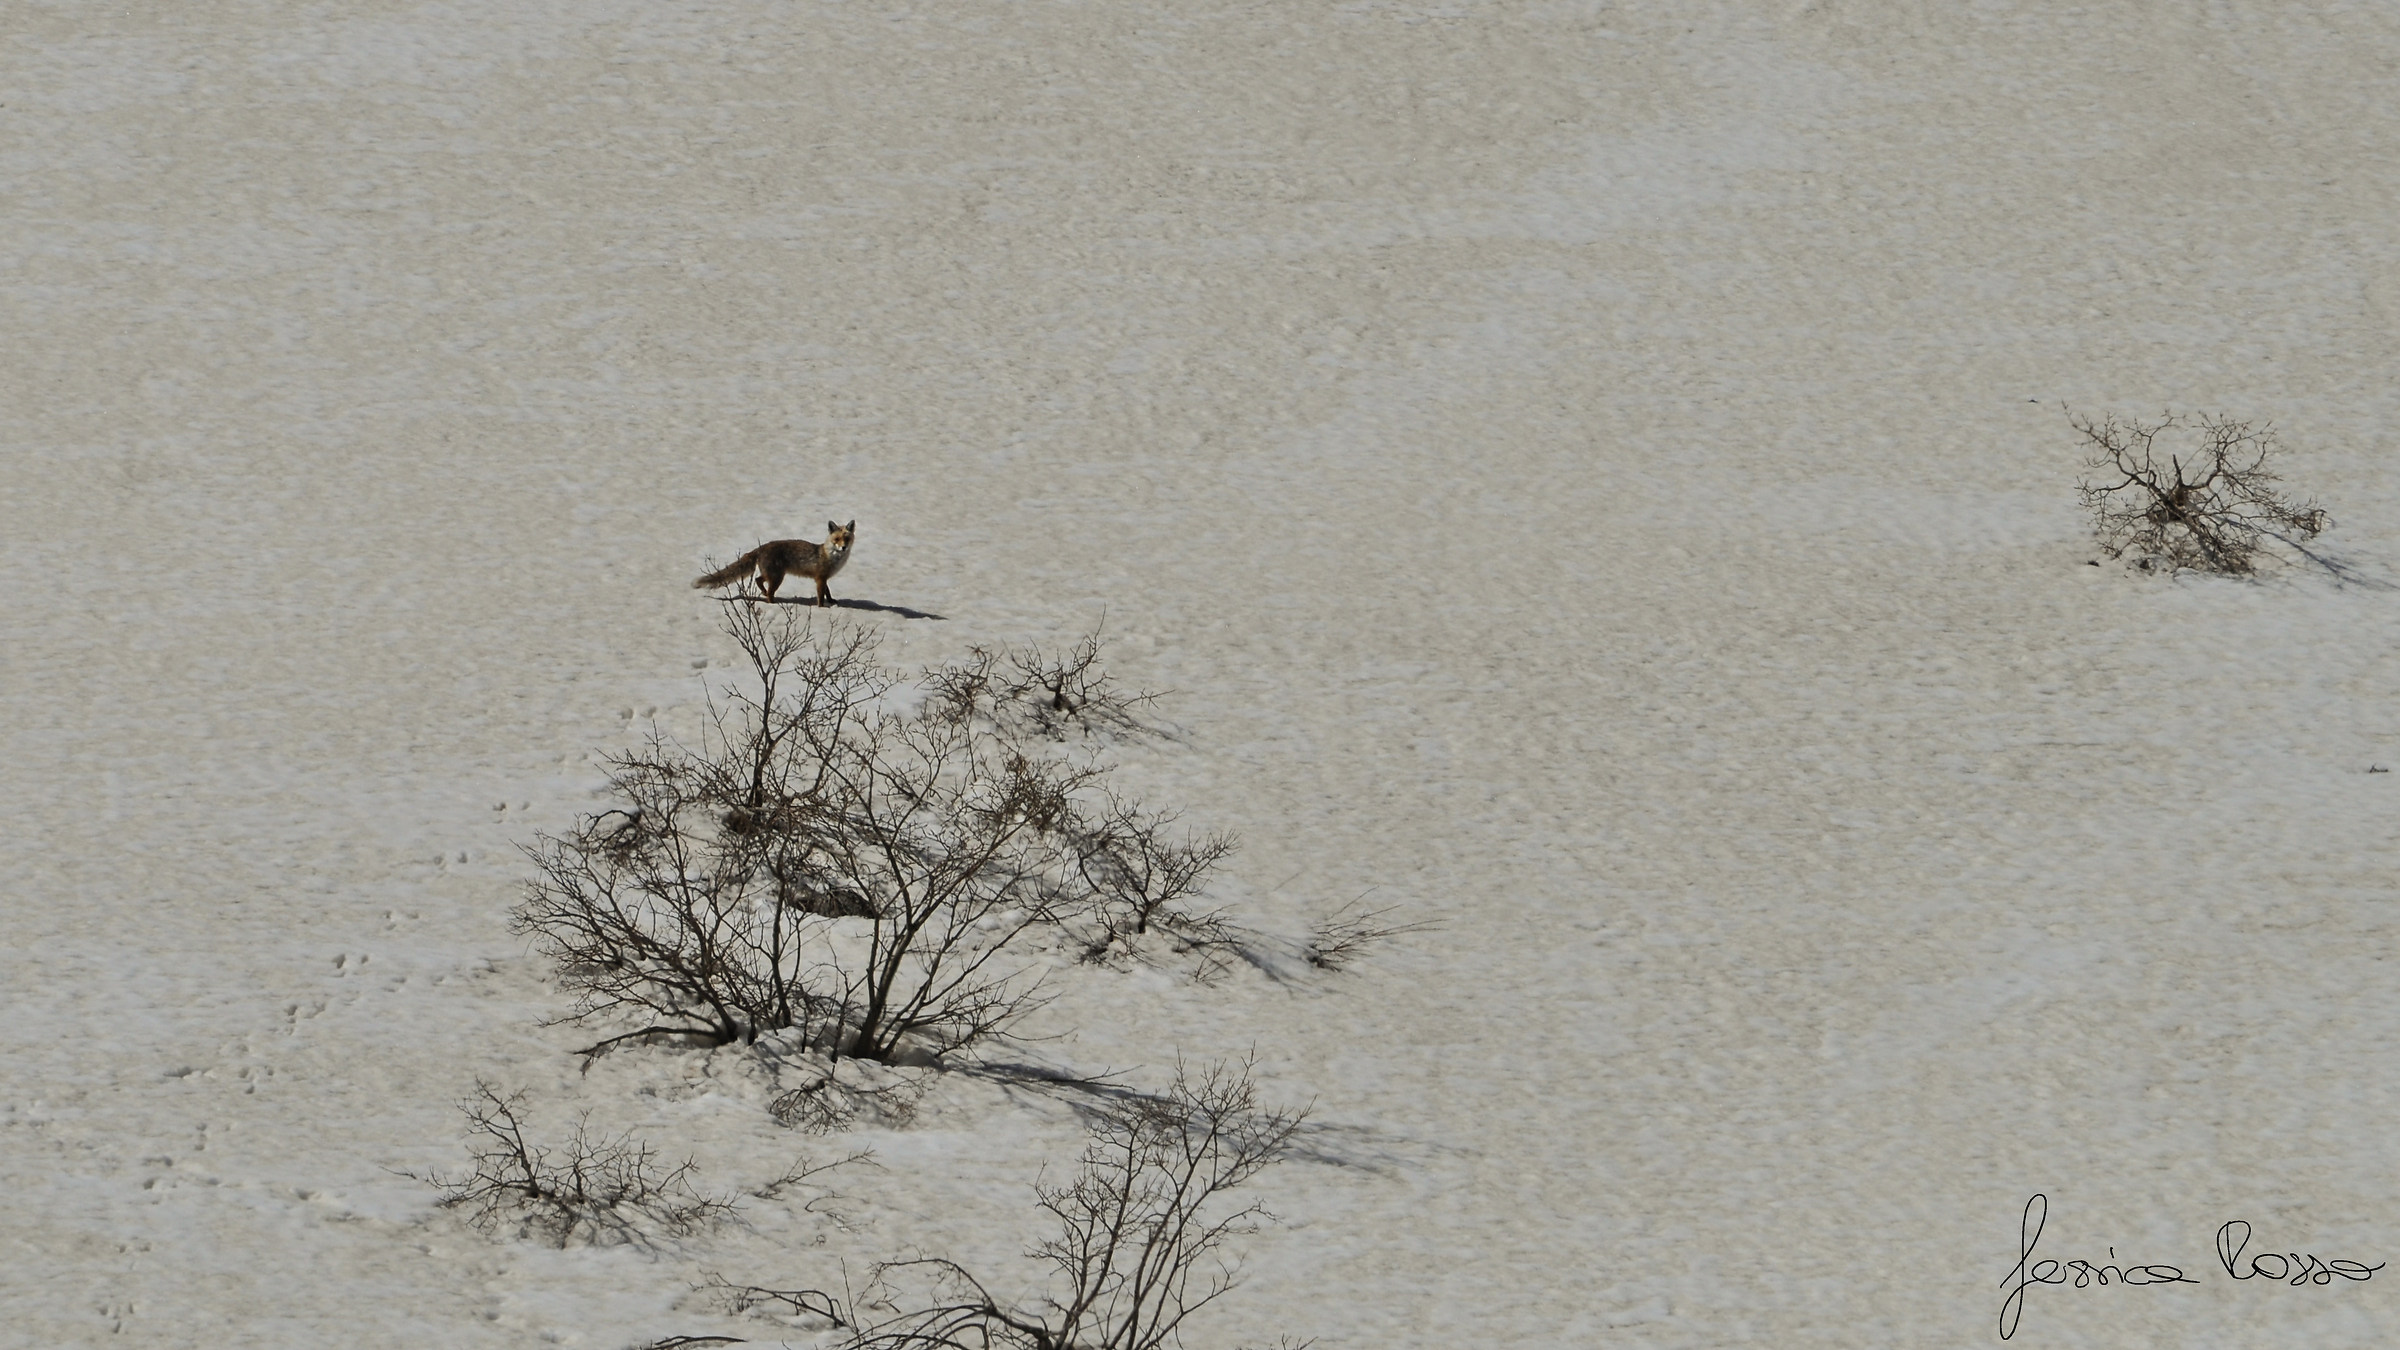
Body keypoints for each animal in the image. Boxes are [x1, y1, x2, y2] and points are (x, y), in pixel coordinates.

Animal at [692, 521, 856, 607]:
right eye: (837, 539)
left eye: (846, 539)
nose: (843, 547)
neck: (831, 556)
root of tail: (761, 547)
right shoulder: (820, 578)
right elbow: (821, 596)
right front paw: (822, 608)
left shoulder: (823, 578)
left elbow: (828, 592)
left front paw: (832, 601)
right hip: (777, 577)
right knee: (769, 591)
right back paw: (773, 603)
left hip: (771, 575)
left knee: (758, 580)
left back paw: (764, 594)